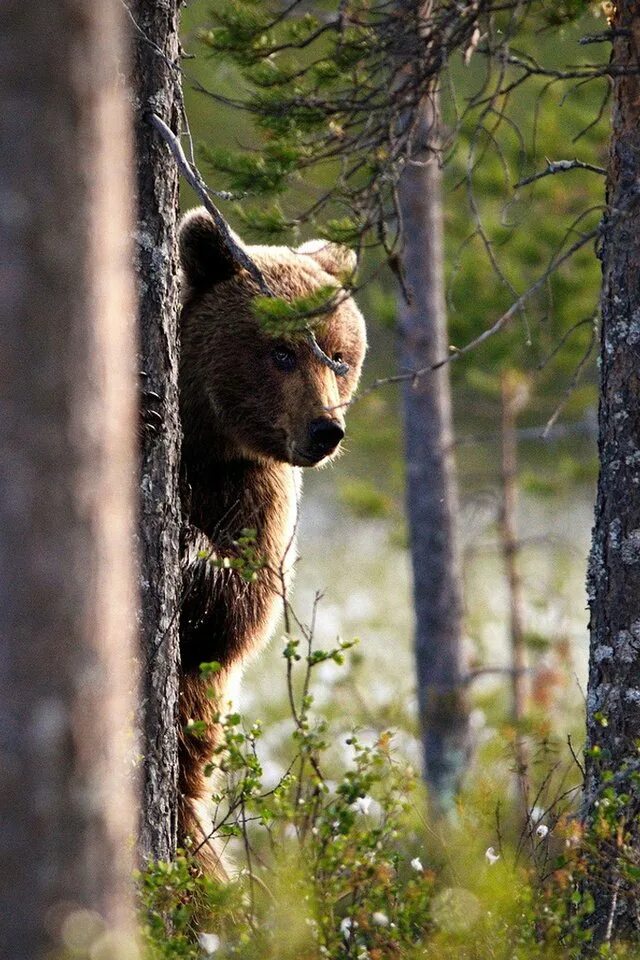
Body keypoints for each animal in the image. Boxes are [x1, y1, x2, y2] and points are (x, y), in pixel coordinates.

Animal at [176, 206, 364, 872]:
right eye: (281, 352)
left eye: (338, 356)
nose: (325, 430)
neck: (205, 442)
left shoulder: (259, 493)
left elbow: (240, 612)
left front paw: (195, 554)